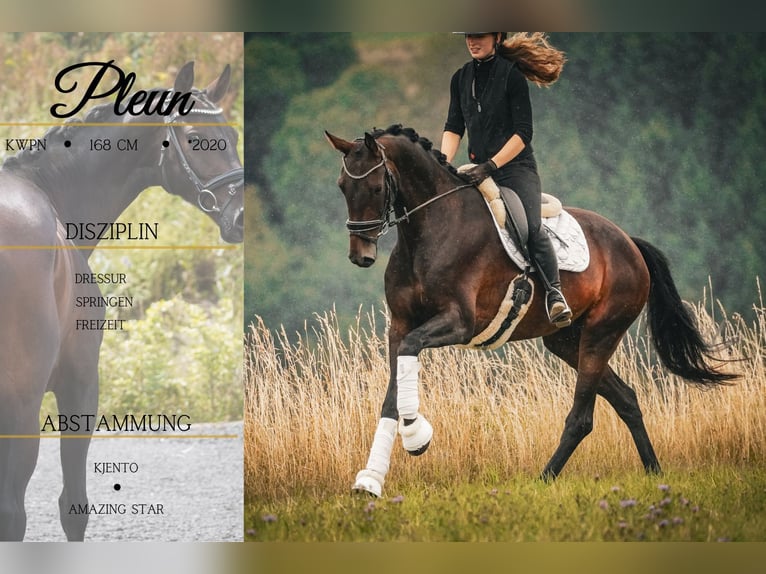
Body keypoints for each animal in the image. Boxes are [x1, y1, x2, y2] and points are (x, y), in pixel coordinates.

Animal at [325, 124, 735, 498]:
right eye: (342, 186)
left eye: (376, 188)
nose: (360, 256)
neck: (429, 232)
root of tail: (629, 243)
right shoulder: (400, 325)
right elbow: (392, 396)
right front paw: (370, 480)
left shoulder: (459, 323)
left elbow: (409, 359)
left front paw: (415, 437)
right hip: (567, 342)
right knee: (627, 399)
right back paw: (653, 471)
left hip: (602, 332)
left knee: (582, 417)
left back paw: (544, 479)